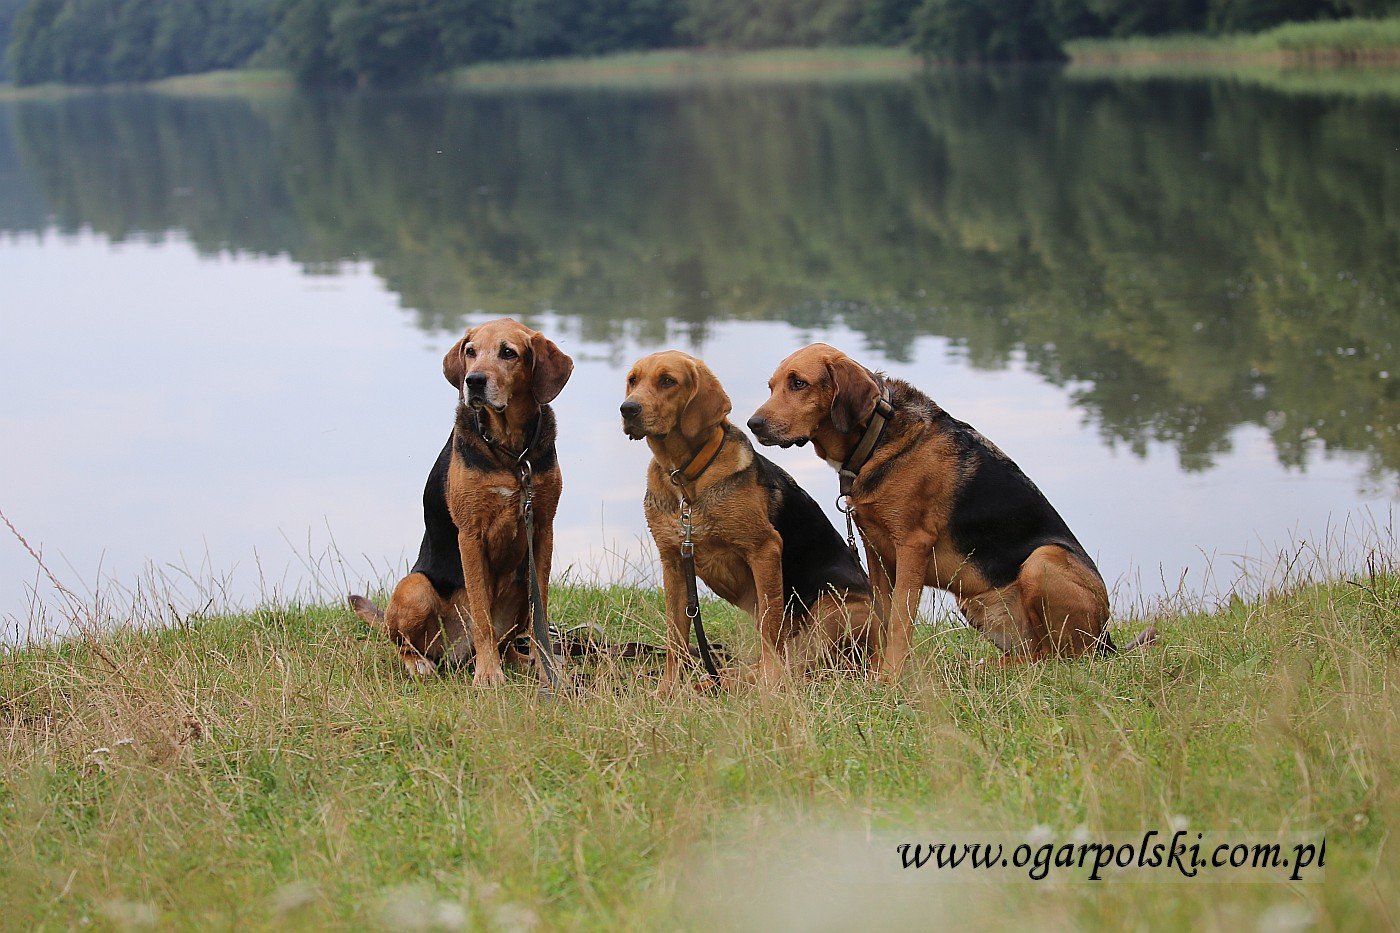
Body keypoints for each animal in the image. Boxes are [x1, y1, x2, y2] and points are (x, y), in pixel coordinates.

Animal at [352, 319, 571, 683]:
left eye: (508, 352)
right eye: (470, 351)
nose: (474, 381)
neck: (510, 450)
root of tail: (455, 654)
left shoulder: (542, 528)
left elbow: (540, 607)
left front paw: (546, 669)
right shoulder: (471, 535)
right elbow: (481, 614)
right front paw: (488, 675)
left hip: (519, 584)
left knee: (509, 640)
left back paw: (520, 661)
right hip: (414, 588)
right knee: (404, 643)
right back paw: (422, 664)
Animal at [618, 353, 868, 686]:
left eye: (667, 381)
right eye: (633, 380)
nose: (628, 409)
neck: (686, 478)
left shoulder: (765, 550)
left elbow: (770, 627)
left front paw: (770, 682)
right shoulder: (673, 562)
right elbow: (676, 635)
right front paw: (668, 689)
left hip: (833, 607)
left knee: (801, 661)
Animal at [750, 341, 1153, 675]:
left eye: (798, 383)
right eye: (771, 386)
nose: (754, 425)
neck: (878, 436)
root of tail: (1108, 641)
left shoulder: (911, 546)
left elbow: (900, 620)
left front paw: (890, 678)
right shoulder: (875, 550)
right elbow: (882, 619)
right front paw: (876, 673)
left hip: (1043, 560)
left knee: (1061, 656)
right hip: (977, 603)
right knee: (1034, 652)